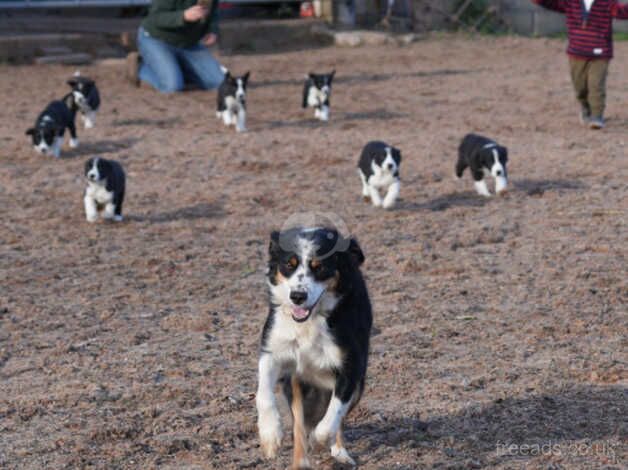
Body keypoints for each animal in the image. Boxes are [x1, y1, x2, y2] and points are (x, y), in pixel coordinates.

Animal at [256, 227, 372, 466]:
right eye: (289, 264)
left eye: (320, 267)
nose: (297, 296)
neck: (309, 322)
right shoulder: (273, 350)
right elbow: (263, 395)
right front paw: (270, 434)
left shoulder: (350, 367)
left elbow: (331, 420)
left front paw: (320, 441)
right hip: (295, 383)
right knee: (299, 426)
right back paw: (300, 463)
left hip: (359, 386)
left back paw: (339, 452)